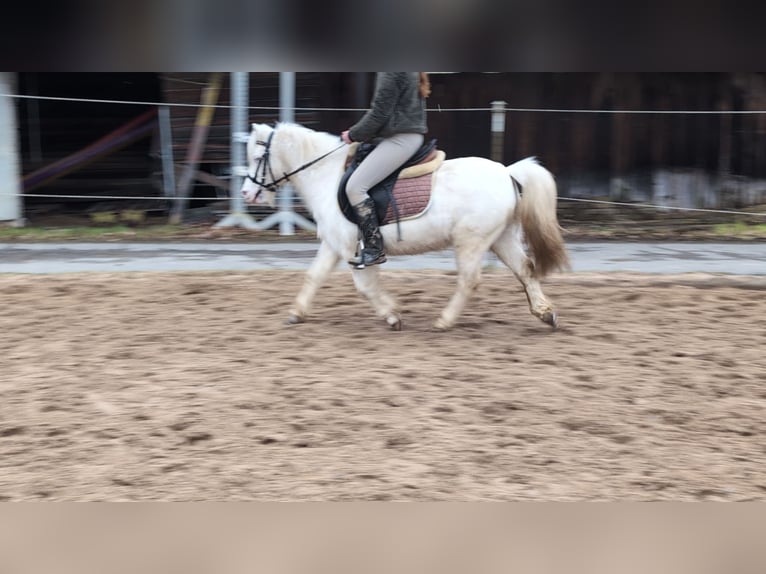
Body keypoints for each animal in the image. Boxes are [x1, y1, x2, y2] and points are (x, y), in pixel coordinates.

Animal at [241, 122, 570, 331]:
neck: (326, 174)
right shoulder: (334, 245)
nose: (246, 193)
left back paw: (444, 321)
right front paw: (296, 314)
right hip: (501, 238)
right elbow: (314, 276)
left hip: (471, 242)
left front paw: (392, 316)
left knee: (470, 280)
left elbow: (365, 286)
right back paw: (546, 314)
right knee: (525, 269)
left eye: (258, 157)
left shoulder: (351, 249)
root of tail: (507, 172)